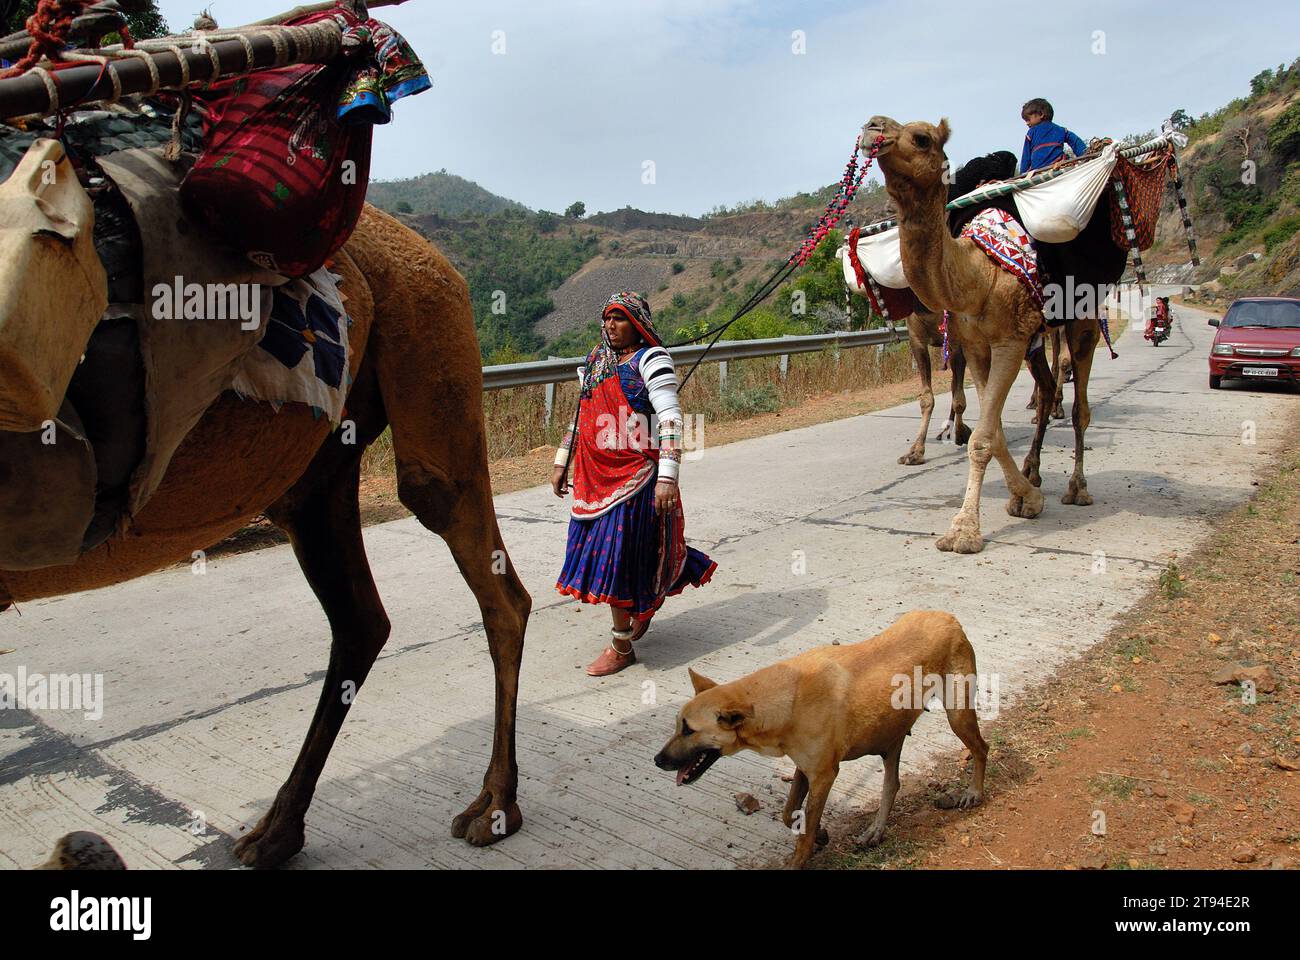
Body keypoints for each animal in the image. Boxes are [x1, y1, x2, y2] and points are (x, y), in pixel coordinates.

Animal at [0, 205, 533, 863]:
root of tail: (442, 264)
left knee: (481, 568)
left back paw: (494, 805)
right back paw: (278, 830)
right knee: (361, 619)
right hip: (320, 466)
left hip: (430, 336)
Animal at [655, 613, 987, 868]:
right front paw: (821, 836)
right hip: (891, 734)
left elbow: (805, 827)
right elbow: (789, 813)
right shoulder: (805, 768)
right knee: (892, 784)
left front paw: (801, 857)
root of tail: (948, 617)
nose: (657, 761)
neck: (784, 700)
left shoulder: (824, 775)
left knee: (981, 748)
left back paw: (973, 792)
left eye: (688, 729)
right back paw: (876, 831)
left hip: (957, 716)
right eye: (677, 725)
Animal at [899, 306, 972, 463]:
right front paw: (915, 452)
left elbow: (959, 400)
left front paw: (962, 433)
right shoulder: (916, 338)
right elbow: (927, 399)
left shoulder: (958, 340)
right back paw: (946, 431)